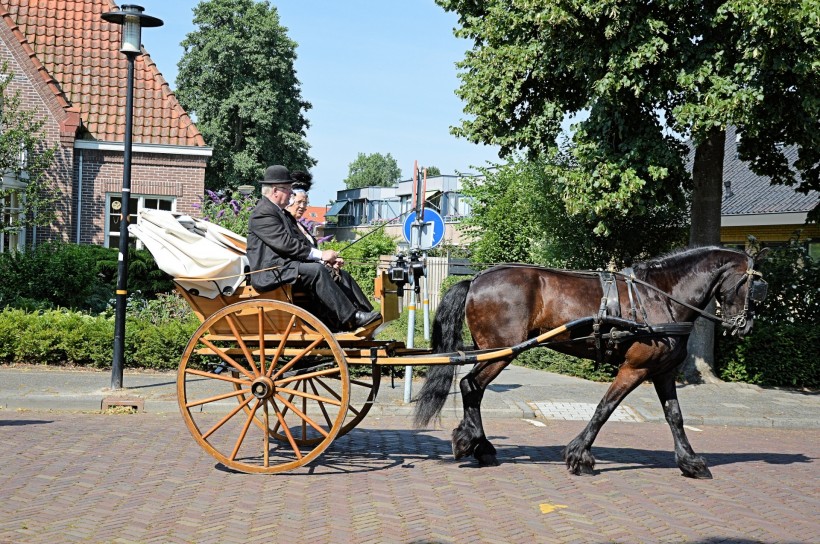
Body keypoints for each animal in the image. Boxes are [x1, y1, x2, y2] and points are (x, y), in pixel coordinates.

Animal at [416, 245, 768, 476]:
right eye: (754, 285)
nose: (746, 326)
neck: (660, 296)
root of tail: (475, 279)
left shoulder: (663, 372)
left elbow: (675, 417)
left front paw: (691, 462)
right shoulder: (635, 368)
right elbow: (604, 408)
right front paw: (578, 455)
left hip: (493, 351)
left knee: (472, 388)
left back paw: (480, 445)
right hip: (502, 351)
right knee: (470, 385)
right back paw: (473, 443)